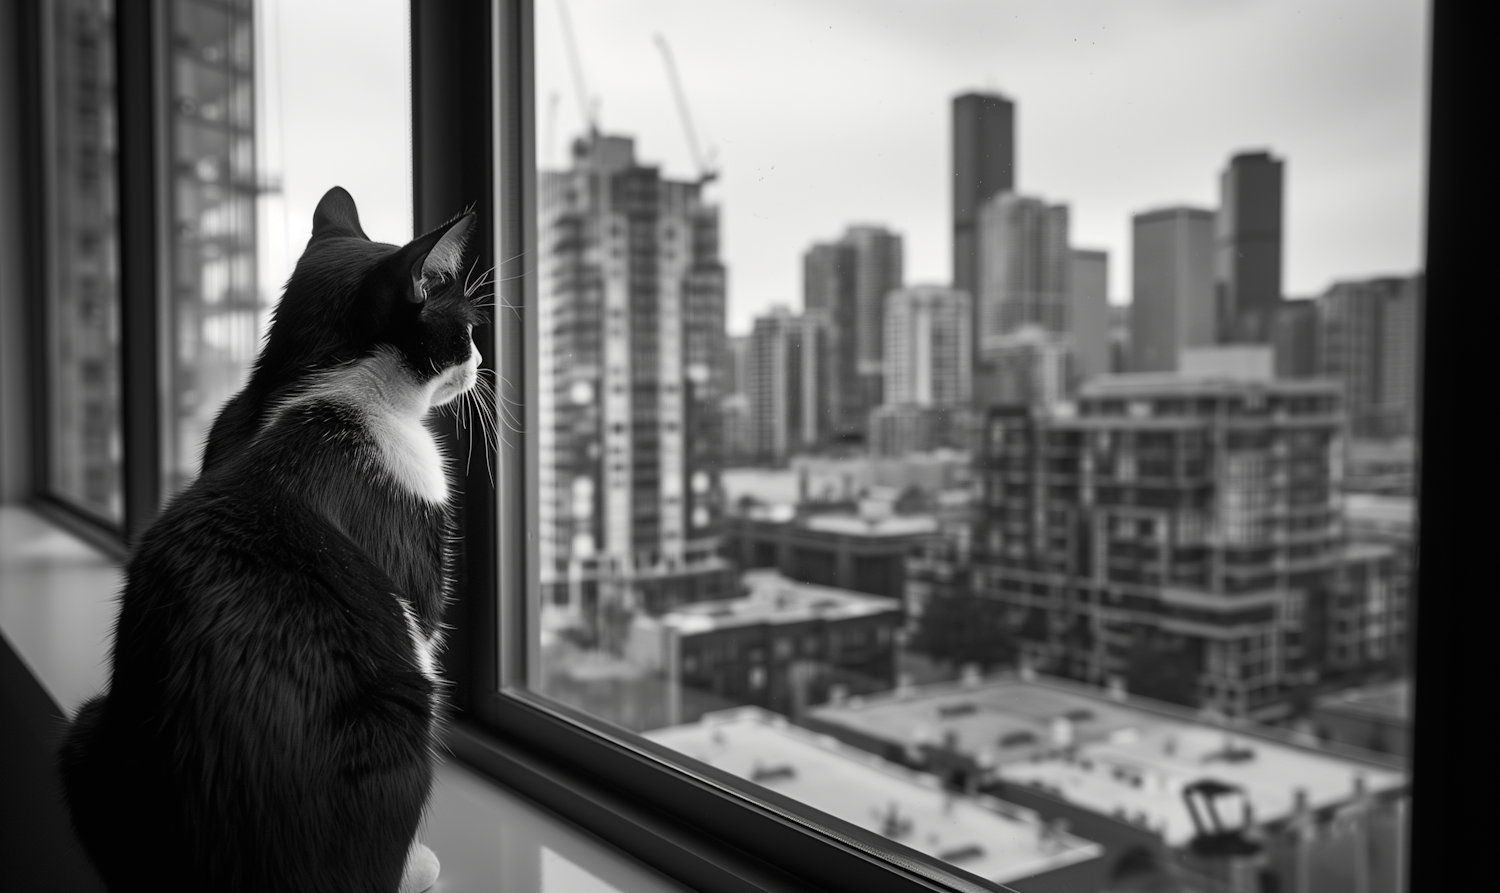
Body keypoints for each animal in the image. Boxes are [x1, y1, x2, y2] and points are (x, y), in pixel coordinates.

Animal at [57, 186, 480, 893]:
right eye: (467, 327)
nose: (480, 360)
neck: (320, 390)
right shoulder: (413, 573)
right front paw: (415, 861)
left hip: (88, 732)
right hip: (398, 708)